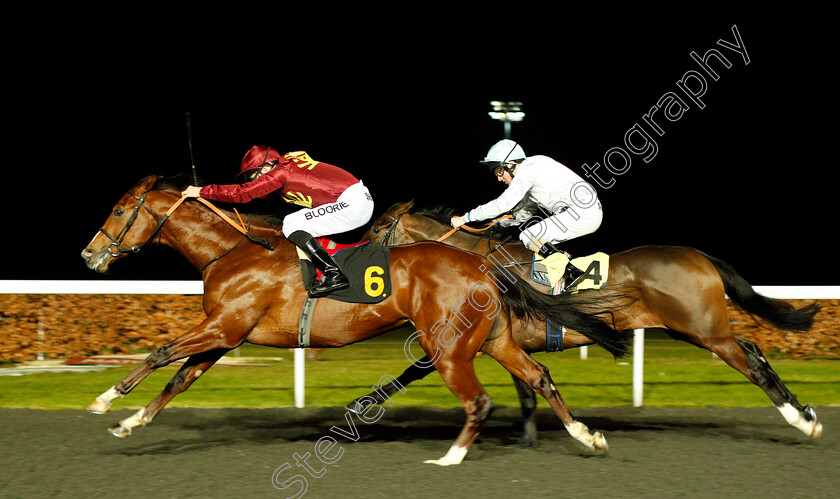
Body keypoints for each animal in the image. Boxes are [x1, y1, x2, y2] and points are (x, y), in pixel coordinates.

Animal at [82, 175, 636, 464]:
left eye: (118, 211)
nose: (89, 255)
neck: (233, 251)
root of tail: (481, 265)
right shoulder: (225, 333)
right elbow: (179, 377)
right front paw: (131, 421)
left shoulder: (224, 326)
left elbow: (160, 352)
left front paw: (104, 400)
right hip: (494, 339)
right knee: (539, 377)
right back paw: (586, 436)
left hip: (448, 347)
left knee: (479, 400)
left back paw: (450, 458)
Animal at [346, 200, 820, 446]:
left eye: (377, 230)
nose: (353, 263)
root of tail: (699, 256)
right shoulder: (505, 342)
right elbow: (529, 392)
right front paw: (532, 439)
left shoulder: (462, 338)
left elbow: (411, 372)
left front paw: (359, 408)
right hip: (696, 330)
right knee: (755, 350)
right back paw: (803, 410)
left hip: (704, 331)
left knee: (751, 362)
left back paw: (802, 421)